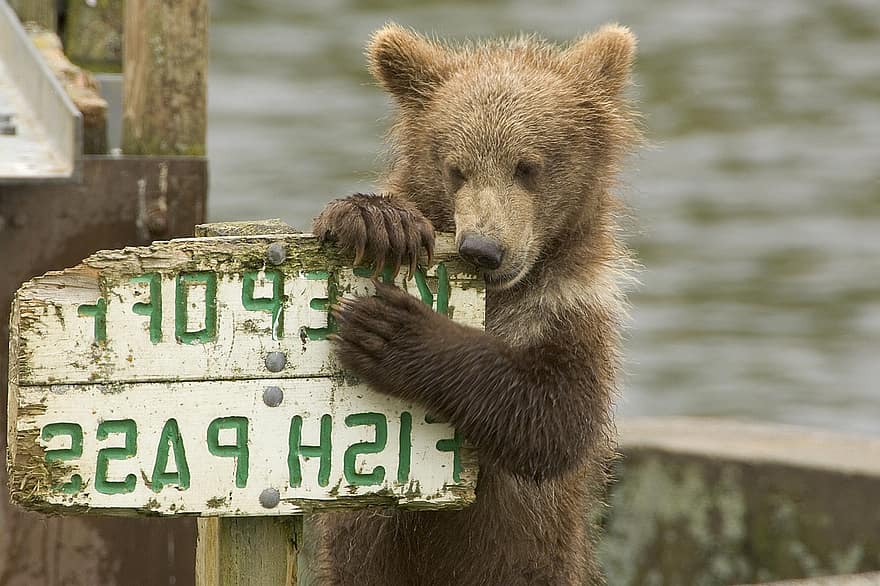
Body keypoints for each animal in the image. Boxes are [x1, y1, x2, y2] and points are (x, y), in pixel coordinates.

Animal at [310, 22, 640, 584]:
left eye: (526, 167)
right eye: (456, 169)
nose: (482, 248)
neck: (505, 294)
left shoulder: (574, 308)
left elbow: (554, 418)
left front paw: (389, 330)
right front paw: (379, 222)